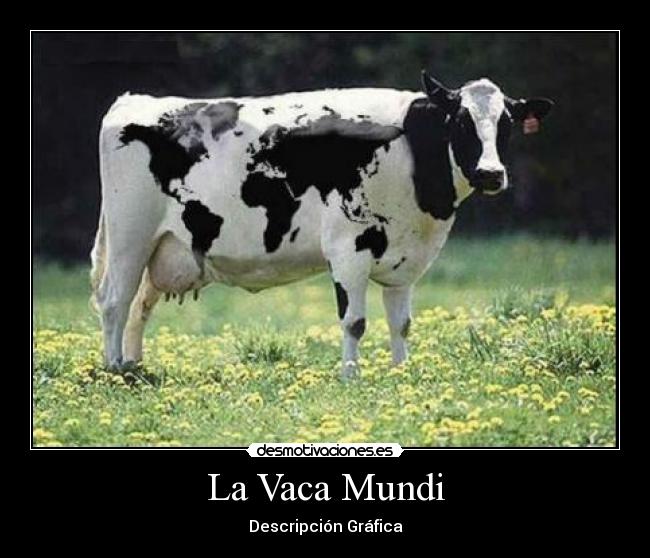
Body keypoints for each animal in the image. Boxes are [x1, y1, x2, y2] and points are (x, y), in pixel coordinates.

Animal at [90, 71, 553, 378]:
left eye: (507, 124)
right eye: (460, 121)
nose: (491, 174)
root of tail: (134, 100)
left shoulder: (405, 259)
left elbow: (401, 323)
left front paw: (401, 373)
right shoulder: (349, 247)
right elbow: (355, 322)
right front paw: (350, 377)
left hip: (164, 247)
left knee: (139, 307)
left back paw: (134, 368)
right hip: (130, 236)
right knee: (115, 301)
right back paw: (113, 370)